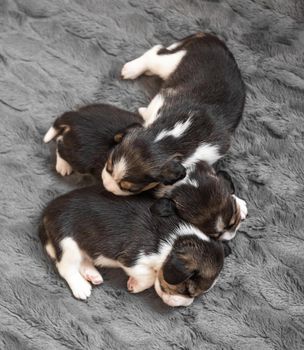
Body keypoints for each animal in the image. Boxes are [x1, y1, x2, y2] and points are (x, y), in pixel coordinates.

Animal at [40, 186, 230, 306]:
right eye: (187, 290)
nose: (185, 305)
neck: (175, 241)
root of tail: (46, 213)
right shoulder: (133, 258)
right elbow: (149, 276)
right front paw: (134, 285)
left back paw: (92, 275)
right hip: (68, 243)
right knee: (66, 267)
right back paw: (81, 287)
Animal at [101, 32, 245, 196]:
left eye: (129, 188)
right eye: (109, 166)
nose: (106, 185)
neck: (167, 137)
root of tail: (213, 38)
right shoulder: (161, 99)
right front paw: (144, 113)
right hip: (172, 61)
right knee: (155, 52)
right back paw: (132, 69)